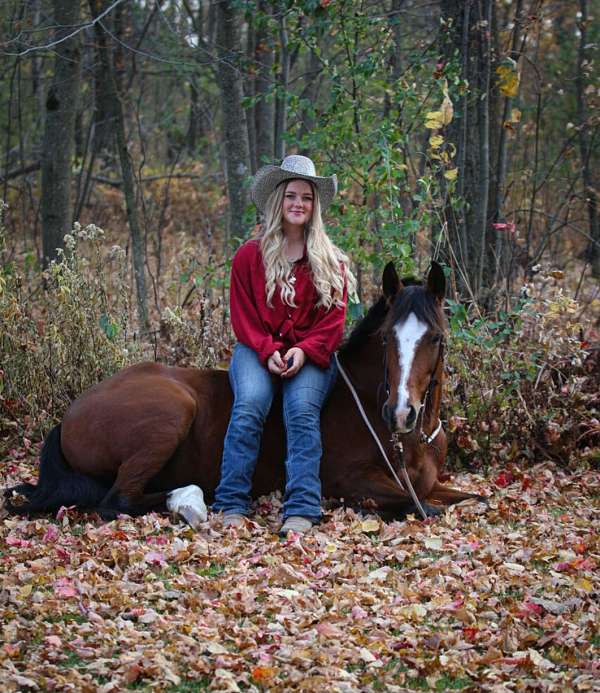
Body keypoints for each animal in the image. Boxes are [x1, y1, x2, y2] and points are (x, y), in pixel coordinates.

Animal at [3, 262, 482, 528]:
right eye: (386, 339)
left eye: (436, 338)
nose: (401, 412)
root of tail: (69, 416)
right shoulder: (352, 482)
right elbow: (421, 507)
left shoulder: (432, 484)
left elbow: (472, 499)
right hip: (170, 413)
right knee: (117, 501)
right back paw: (190, 500)